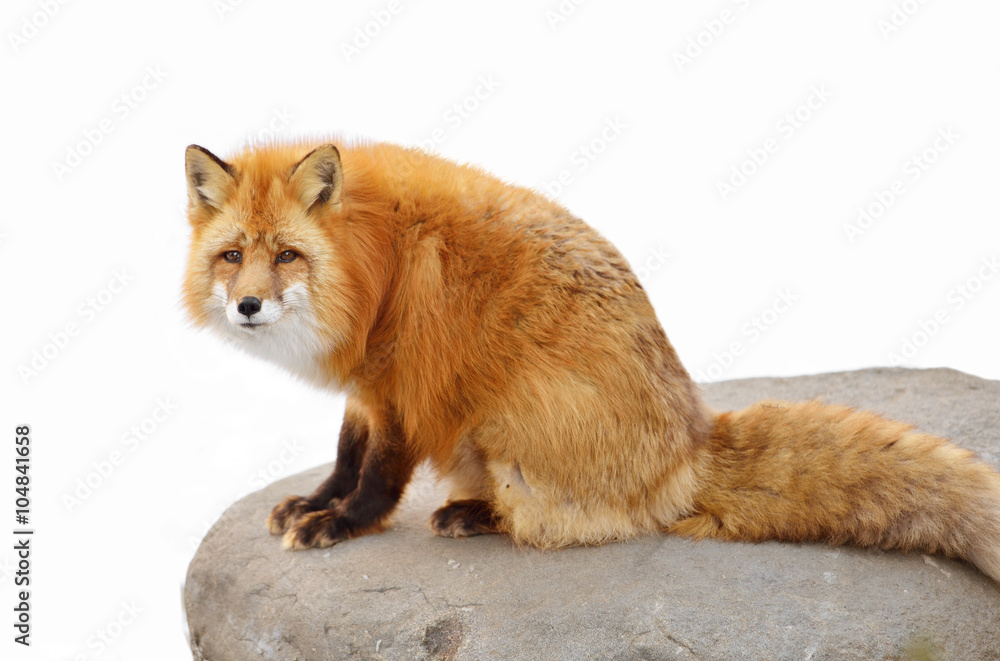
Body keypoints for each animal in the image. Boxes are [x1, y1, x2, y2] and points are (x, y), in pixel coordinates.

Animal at [182, 138, 1000, 584]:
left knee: (581, 522)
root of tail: (690, 441)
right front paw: (312, 502)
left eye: (288, 255)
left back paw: (474, 514)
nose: (247, 306)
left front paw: (340, 524)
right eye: (233, 257)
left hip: (507, 427)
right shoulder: (369, 387)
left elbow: (377, 476)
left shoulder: (410, 385)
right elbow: (345, 456)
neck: (372, 266)